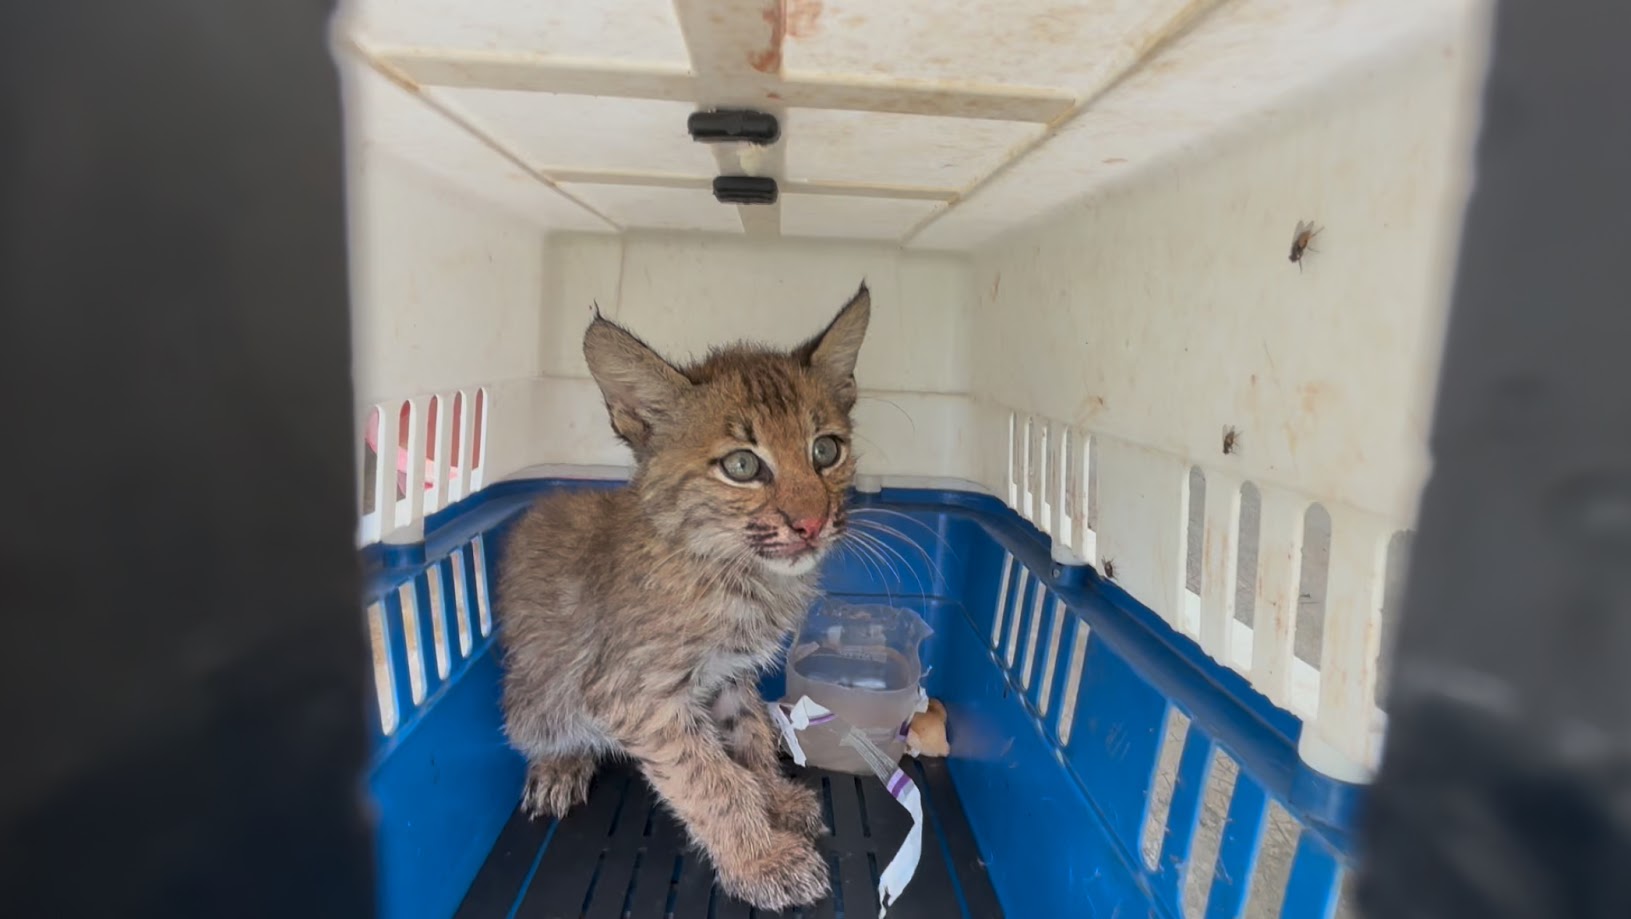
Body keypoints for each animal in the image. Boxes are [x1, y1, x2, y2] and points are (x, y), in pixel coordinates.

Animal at [495, 282, 874, 914]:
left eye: (826, 451)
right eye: (742, 465)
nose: (811, 524)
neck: (738, 572)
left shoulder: (727, 674)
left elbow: (749, 739)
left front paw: (776, 800)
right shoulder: (637, 696)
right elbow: (712, 780)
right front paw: (761, 861)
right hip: (537, 698)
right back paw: (560, 763)